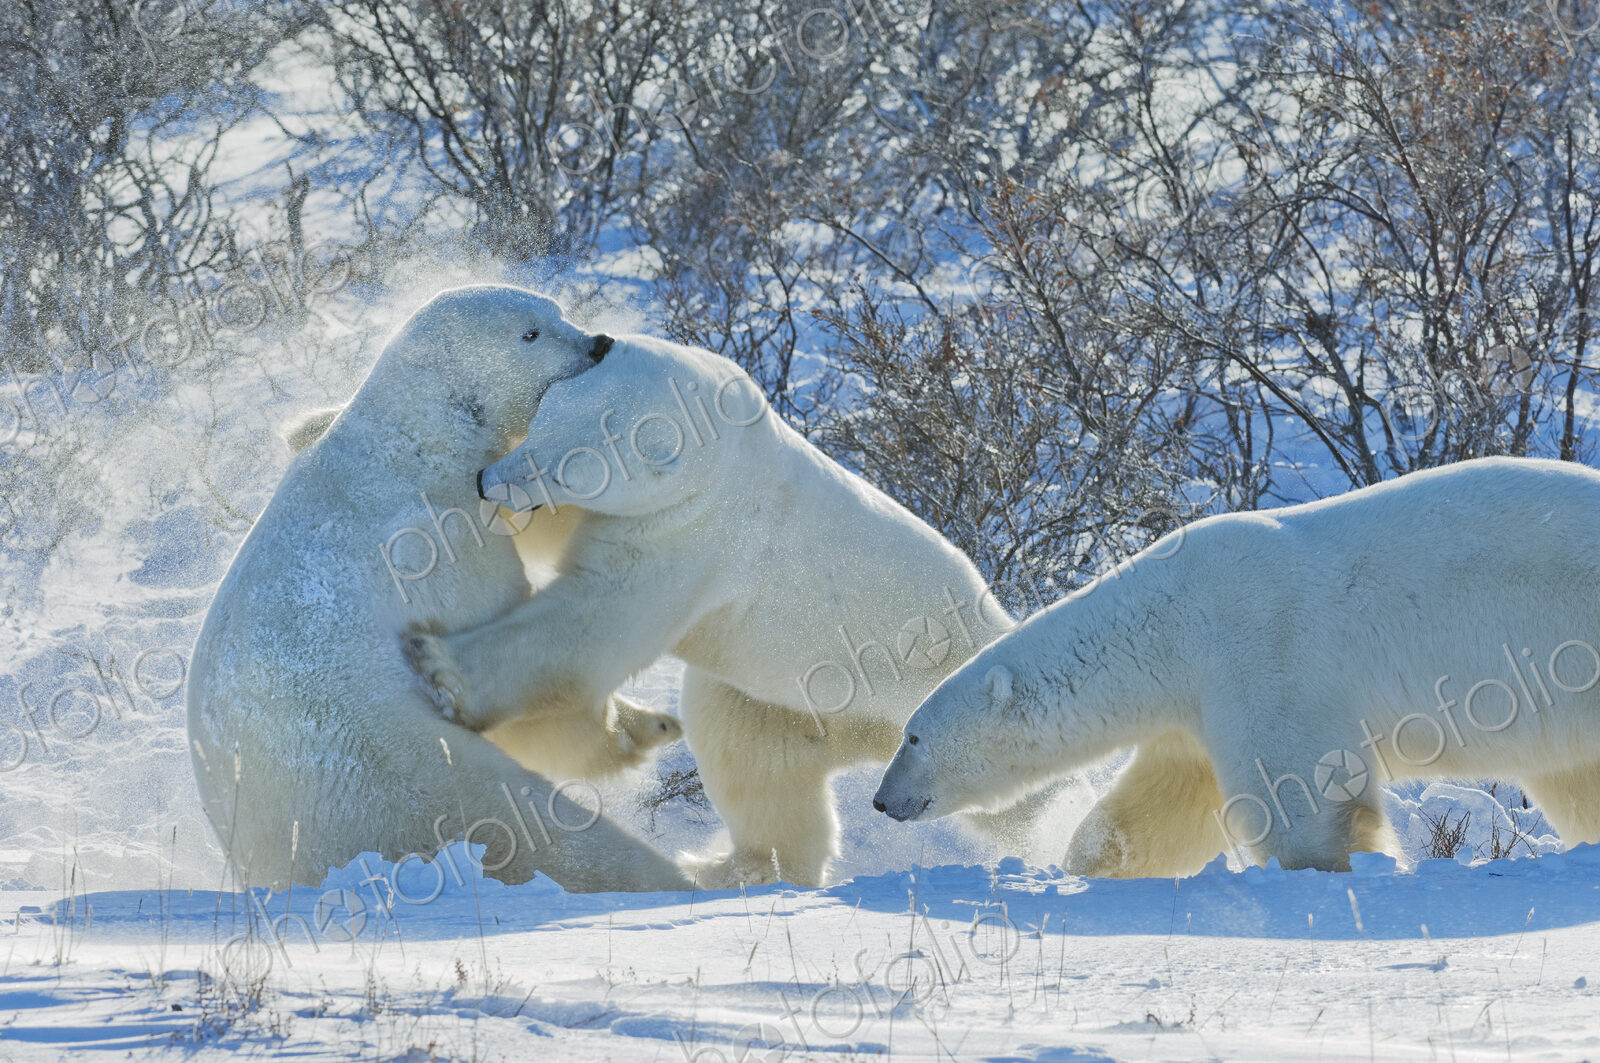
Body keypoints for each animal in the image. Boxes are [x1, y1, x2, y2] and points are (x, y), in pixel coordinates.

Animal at [187, 285, 693, 892]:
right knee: (510, 820)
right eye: (531, 333)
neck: (417, 433)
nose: (598, 343)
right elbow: (499, 624)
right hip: (377, 766)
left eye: (556, 310)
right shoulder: (432, 529)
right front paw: (639, 726)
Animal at [403, 331, 1033, 888]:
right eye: (539, 424)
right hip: (791, 699)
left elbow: (596, 618)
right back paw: (737, 867)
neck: (722, 443)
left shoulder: (697, 530)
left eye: (564, 469)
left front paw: (441, 668)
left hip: (911, 700)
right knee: (752, 760)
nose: (486, 482)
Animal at [873, 456, 1600, 877]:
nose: (883, 801)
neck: (1170, 620)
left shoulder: (1264, 654)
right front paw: (1089, 865)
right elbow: (1161, 805)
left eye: (913, 735)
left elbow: (1297, 792)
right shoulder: (1193, 705)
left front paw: (1332, 868)